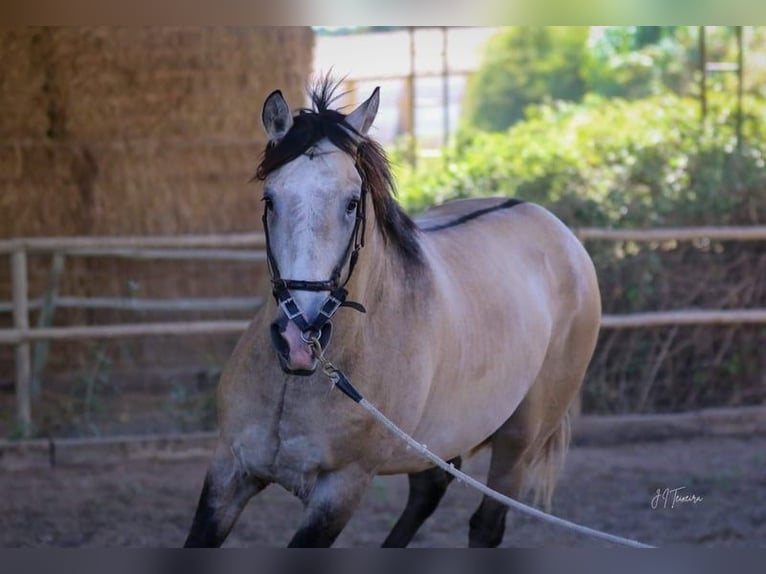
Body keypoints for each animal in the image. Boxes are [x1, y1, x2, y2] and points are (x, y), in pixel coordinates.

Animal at [183, 80, 604, 548]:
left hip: (520, 438)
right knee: (430, 489)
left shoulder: (342, 488)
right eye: (269, 199)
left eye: (352, 202)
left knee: (487, 523)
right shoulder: (228, 470)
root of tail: (558, 230)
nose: (298, 339)